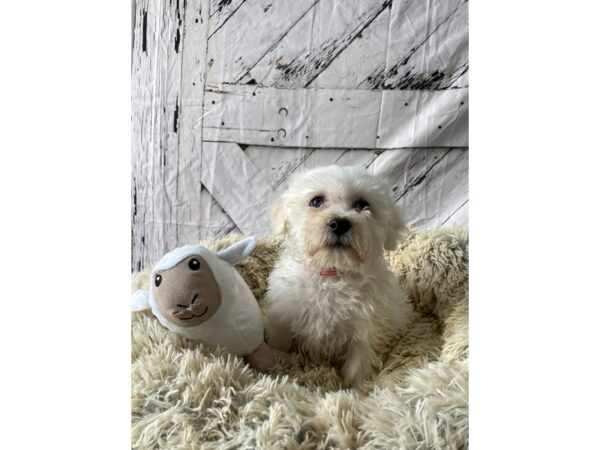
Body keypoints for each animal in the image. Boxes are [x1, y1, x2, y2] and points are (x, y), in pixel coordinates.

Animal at [264, 165, 414, 386]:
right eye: (316, 201)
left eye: (362, 205)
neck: (332, 274)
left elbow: (357, 364)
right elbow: (279, 343)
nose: (340, 223)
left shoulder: (366, 329)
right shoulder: (282, 317)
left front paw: (355, 388)